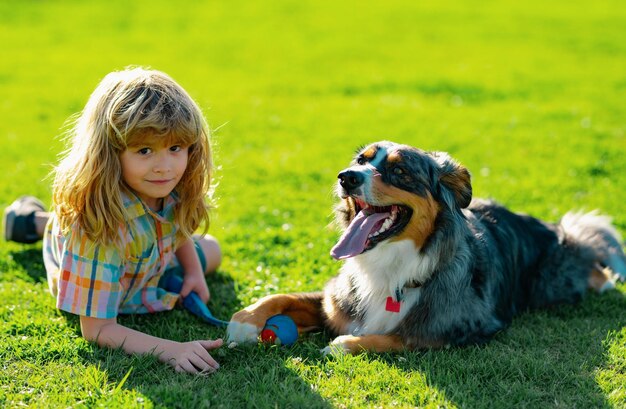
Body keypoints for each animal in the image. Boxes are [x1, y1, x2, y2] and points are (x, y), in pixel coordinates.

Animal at [225, 141, 624, 354]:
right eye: (360, 161)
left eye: (400, 172)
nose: (346, 177)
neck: (389, 268)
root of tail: (553, 227)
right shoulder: (336, 302)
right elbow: (284, 297)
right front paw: (243, 323)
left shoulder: (457, 327)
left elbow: (394, 337)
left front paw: (342, 345)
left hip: (554, 282)